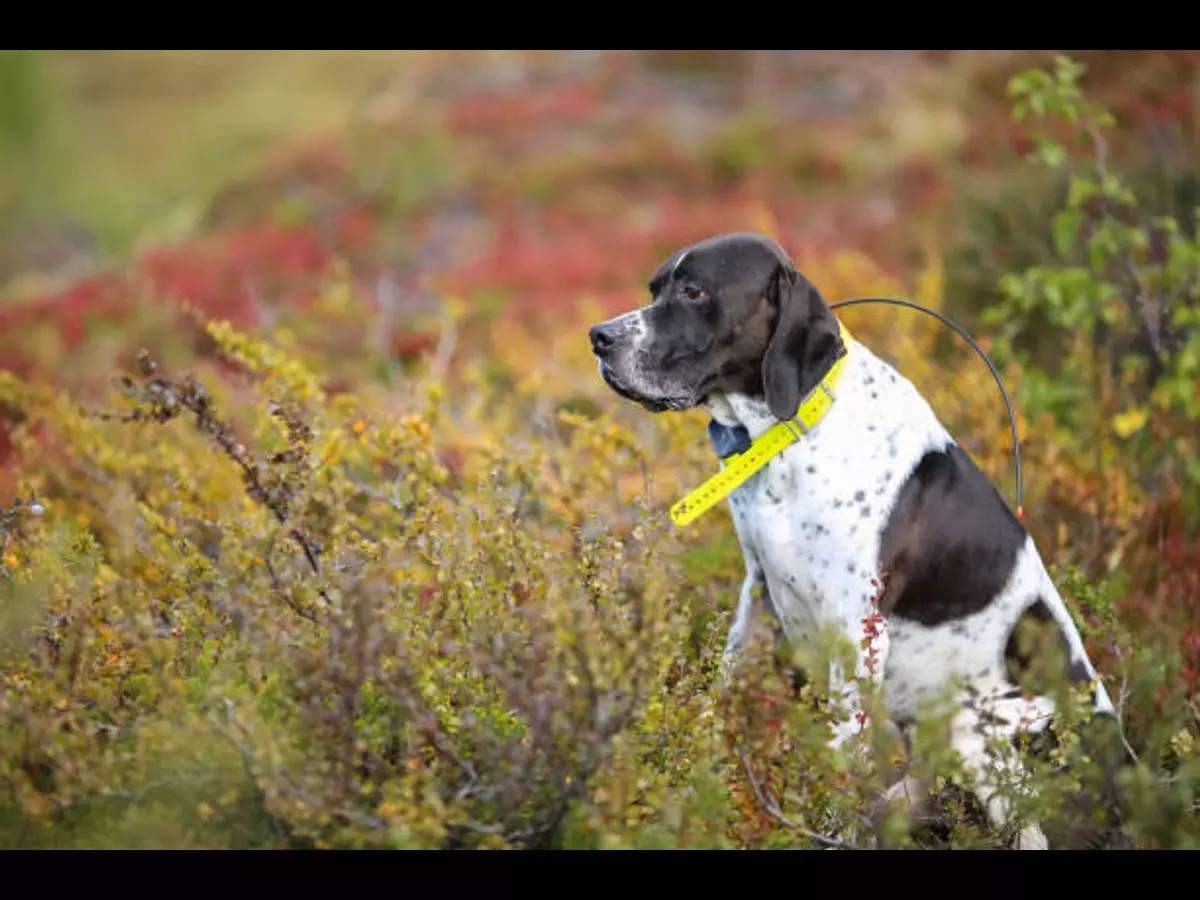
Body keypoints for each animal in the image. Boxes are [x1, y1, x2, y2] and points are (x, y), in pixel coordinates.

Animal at [590, 232, 1113, 854]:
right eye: (654, 289)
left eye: (694, 292)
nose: (600, 338)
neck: (790, 430)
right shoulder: (757, 593)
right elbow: (721, 697)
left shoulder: (856, 633)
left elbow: (838, 768)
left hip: (976, 730)